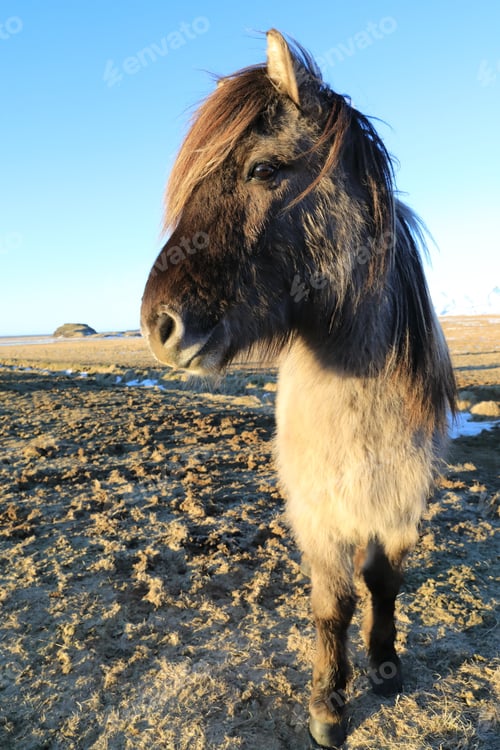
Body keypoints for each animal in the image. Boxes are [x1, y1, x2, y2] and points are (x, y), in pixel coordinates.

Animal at [141, 29, 456, 749]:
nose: (157, 326)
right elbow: (333, 602)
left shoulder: (399, 504)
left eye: (262, 170)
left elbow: (383, 581)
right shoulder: (319, 514)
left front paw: (385, 663)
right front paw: (328, 704)